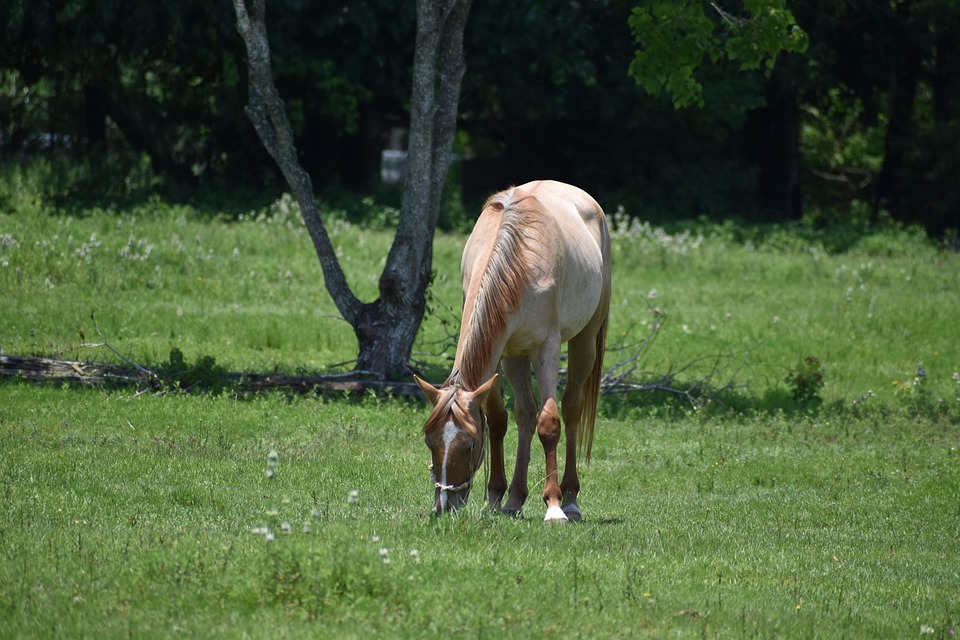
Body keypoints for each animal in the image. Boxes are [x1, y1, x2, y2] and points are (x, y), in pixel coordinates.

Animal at [414, 180, 611, 522]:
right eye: (430, 442)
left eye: (468, 445)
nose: (444, 507)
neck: (518, 260)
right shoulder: (501, 353)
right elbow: (499, 419)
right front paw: (495, 497)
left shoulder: (546, 349)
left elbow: (550, 423)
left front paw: (554, 506)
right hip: (517, 358)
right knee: (525, 414)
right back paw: (515, 499)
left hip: (584, 340)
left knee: (571, 409)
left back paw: (570, 499)